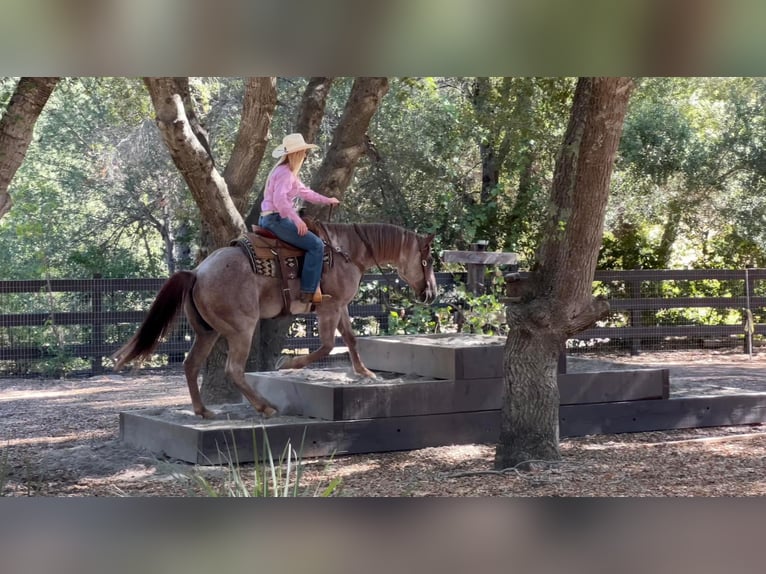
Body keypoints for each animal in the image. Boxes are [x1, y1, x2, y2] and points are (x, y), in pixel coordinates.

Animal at [112, 223, 438, 420]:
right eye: (428, 261)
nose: (432, 293)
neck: (347, 252)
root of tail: (197, 272)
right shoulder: (329, 308)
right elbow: (327, 345)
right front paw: (287, 364)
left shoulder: (341, 306)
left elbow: (350, 338)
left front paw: (365, 372)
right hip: (241, 329)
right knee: (234, 369)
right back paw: (264, 407)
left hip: (208, 332)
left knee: (191, 365)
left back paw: (203, 411)